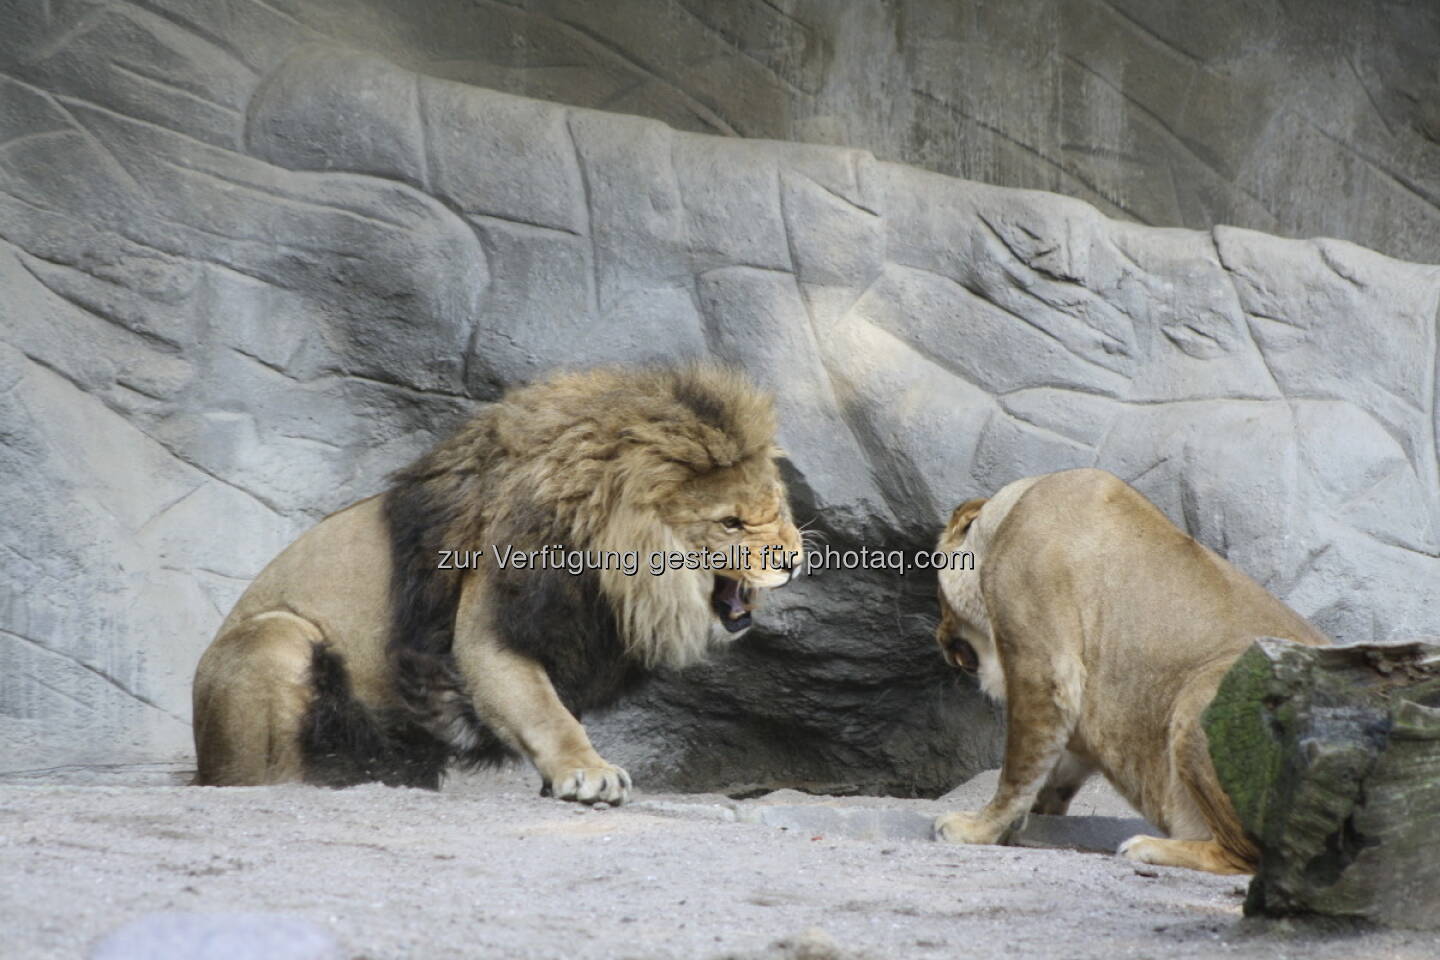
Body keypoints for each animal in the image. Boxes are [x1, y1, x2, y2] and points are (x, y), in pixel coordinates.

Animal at [192, 365, 806, 805]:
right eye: (730, 523)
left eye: (776, 507)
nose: (795, 561)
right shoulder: (490, 628)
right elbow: (544, 713)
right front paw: (589, 773)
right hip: (275, 637)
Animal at [933, 469, 1324, 875]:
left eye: (940, 600)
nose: (938, 637)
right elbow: (1056, 768)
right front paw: (1031, 817)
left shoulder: (1043, 660)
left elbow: (1018, 767)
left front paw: (978, 828)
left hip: (1200, 697)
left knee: (1245, 856)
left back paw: (1147, 847)